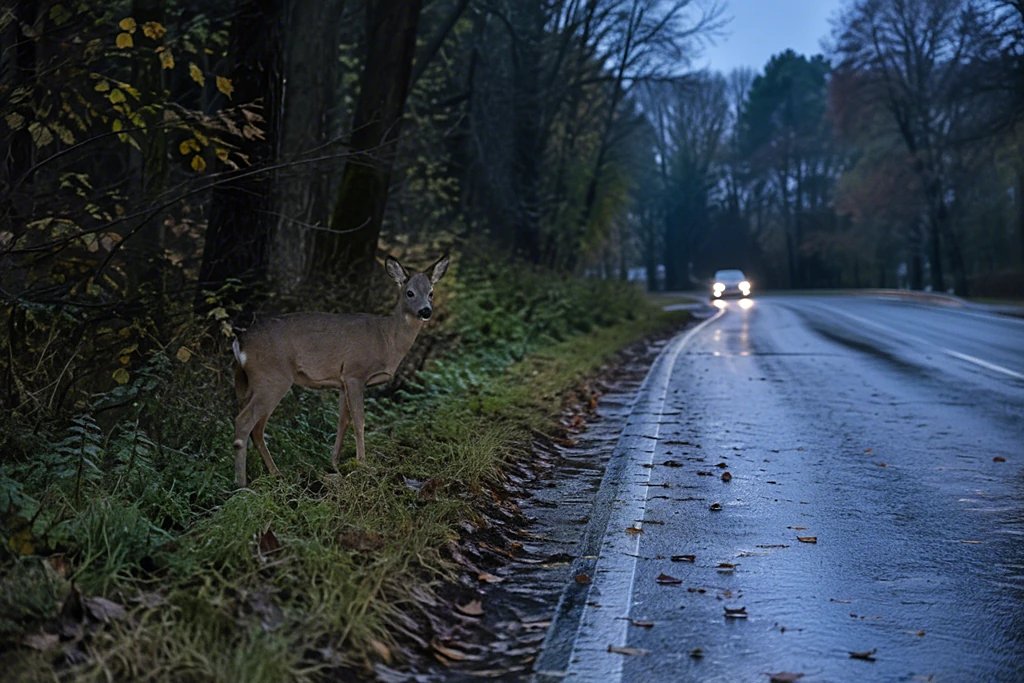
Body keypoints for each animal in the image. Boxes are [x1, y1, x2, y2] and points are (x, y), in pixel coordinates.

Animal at [230, 253, 449, 488]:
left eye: (431, 292)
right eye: (410, 292)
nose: (426, 311)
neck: (387, 339)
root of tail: (240, 343)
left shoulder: (342, 381)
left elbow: (342, 421)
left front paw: (334, 464)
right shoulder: (355, 373)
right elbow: (359, 420)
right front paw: (363, 464)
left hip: (250, 383)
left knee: (256, 428)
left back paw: (276, 473)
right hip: (272, 377)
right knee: (244, 422)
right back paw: (242, 484)